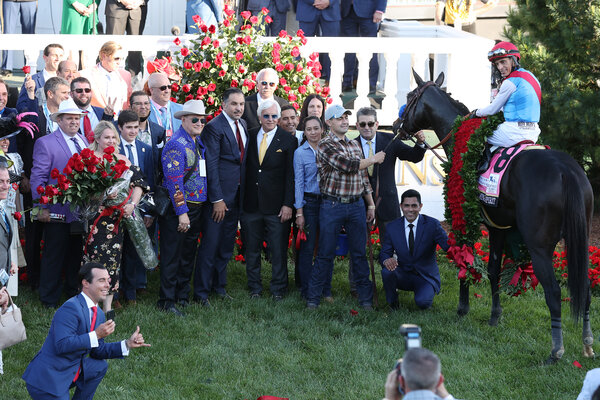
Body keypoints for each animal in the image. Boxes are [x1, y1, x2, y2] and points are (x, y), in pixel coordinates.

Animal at [394, 70, 596, 364]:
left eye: (410, 96)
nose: (396, 124)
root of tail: (566, 170)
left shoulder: (463, 219)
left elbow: (463, 258)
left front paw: (463, 307)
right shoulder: (499, 227)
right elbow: (493, 270)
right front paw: (494, 316)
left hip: (540, 247)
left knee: (554, 292)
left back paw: (556, 350)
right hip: (577, 240)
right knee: (585, 287)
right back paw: (587, 342)